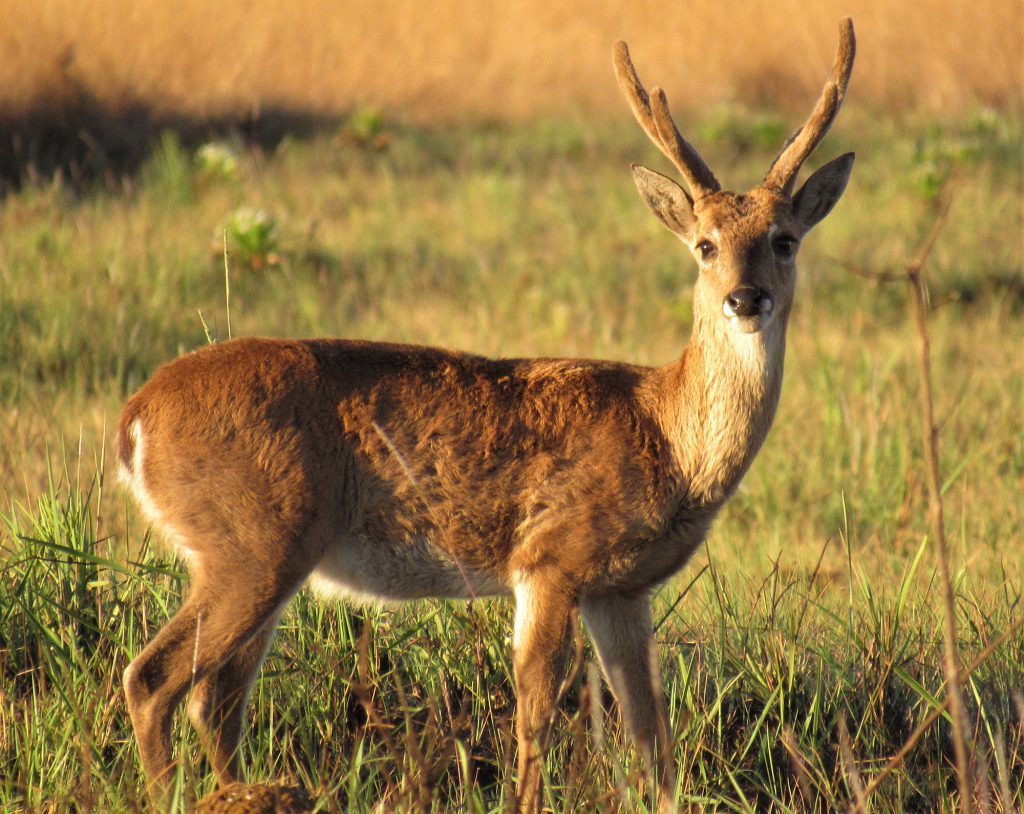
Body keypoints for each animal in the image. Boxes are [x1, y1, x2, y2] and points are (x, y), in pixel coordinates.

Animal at [117, 20, 856, 814]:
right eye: (705, 245)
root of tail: (134, 418)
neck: (668, 436)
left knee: (215, 698)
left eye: (784, 238)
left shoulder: (622, 590)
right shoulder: (548, 556)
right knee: (155, 679)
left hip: (262, 555)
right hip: (253, 540)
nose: (745, 299)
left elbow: (650, 739)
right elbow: (536, 716)